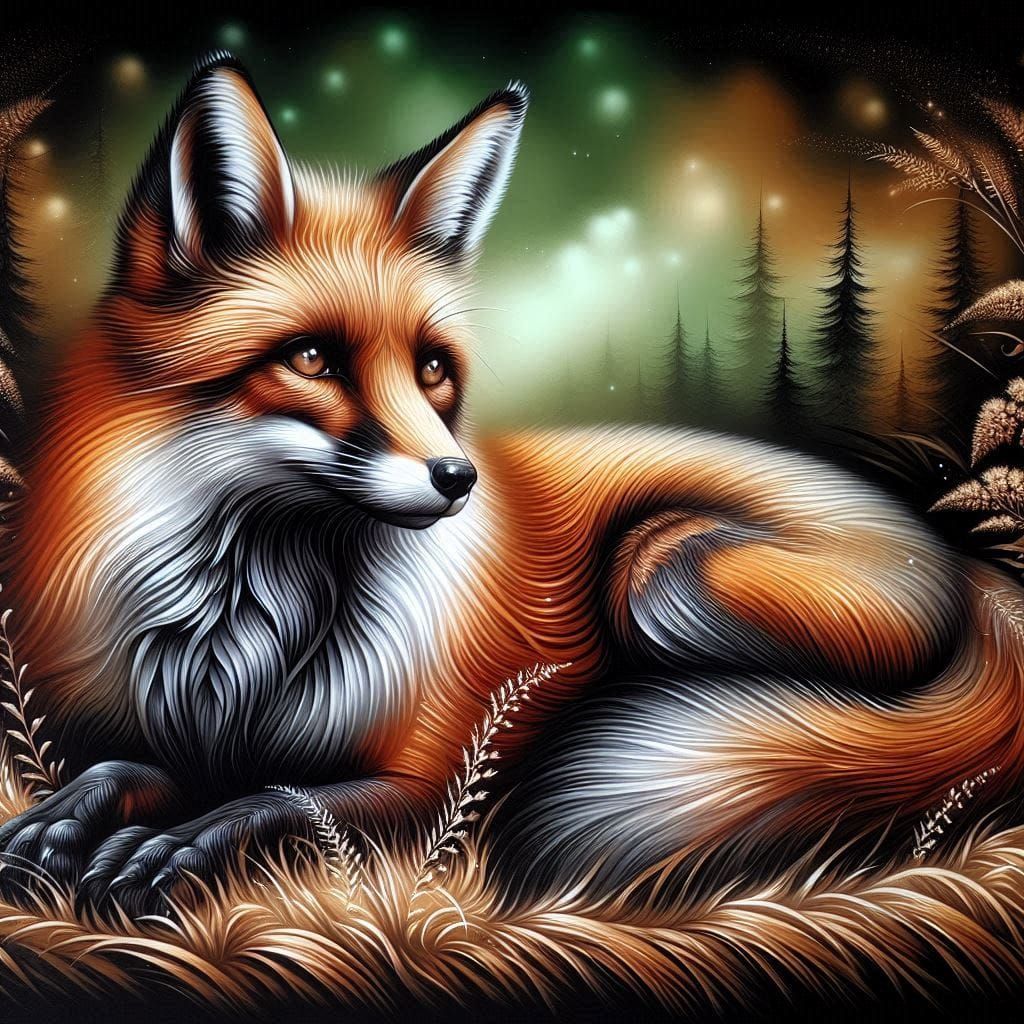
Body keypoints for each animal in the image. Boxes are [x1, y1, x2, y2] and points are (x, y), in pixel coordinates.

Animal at [0, 52, 1023, 916]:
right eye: (312, 359)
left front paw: (180, 845)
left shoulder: (427, 779)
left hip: (663, 569)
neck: (241, 640)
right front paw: (66, 818)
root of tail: (973, 575)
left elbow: (280, 798)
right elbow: (123, 770)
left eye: (432, 369)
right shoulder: (180, 738)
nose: (458, 479)